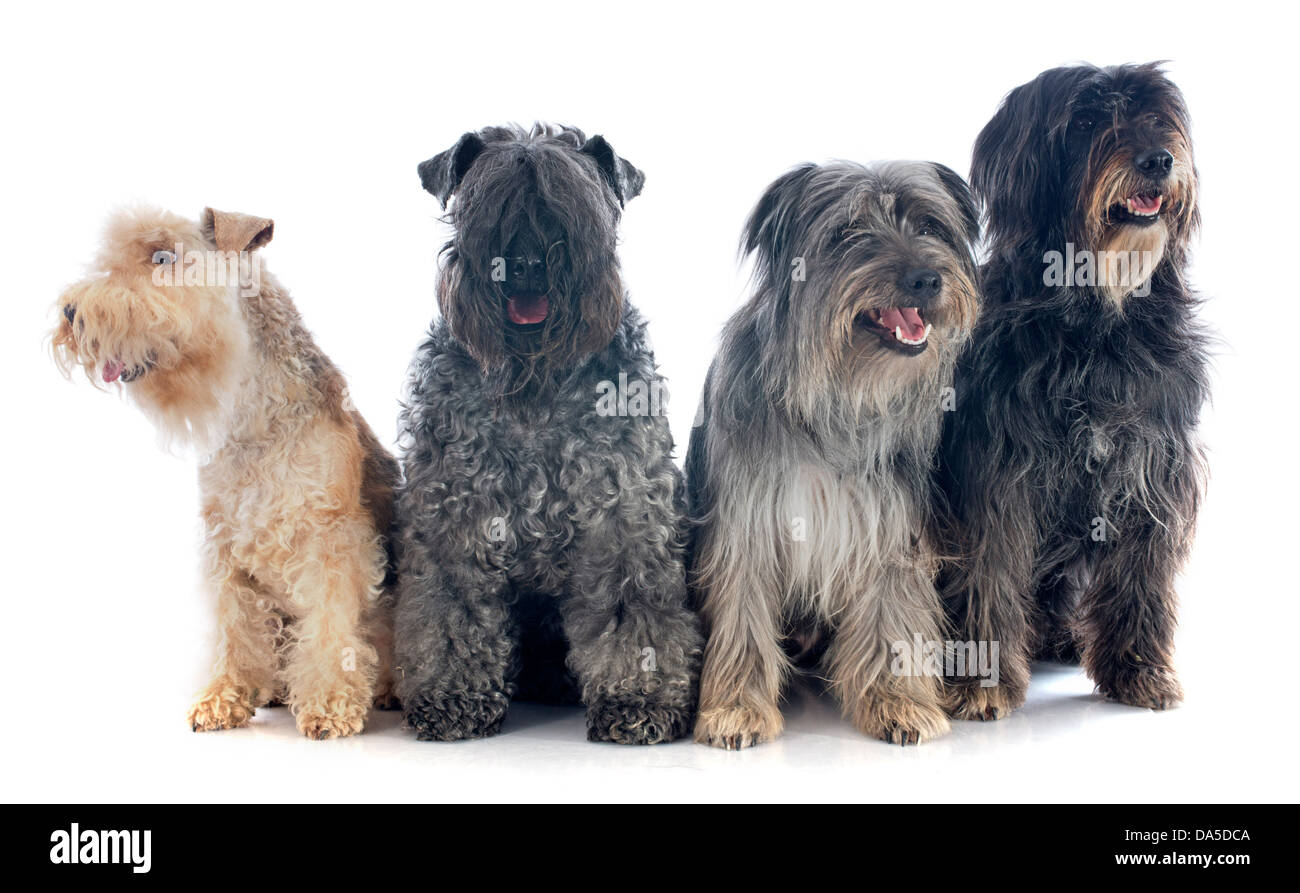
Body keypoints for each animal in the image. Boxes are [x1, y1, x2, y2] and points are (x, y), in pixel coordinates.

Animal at [52, 209, 395, 738]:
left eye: (162, 257)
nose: (70, 311)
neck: (253, 419)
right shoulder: (225, 543)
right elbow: (234, 631)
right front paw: (222, 699)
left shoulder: (333, 540)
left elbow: (331, 628)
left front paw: (330, 706)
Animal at [392, 122, 702, 743]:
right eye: (486, 202)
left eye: (575, 203)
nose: (529, 262)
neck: (534, 389)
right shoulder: (453, 521)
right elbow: (451, 615)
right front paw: (451, 695)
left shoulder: (624, 522)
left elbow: (634, 614)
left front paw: (639, 700)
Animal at [691, 159, 977, 748]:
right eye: (850, 232)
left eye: (930, 226)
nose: (926, 279)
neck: (834, 400)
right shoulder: (746, 527)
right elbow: (742, 618)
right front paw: (736, 708)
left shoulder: (890, 527)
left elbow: (892, 617)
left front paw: (898, 702)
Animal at [941, 63, 1211, 717]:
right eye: (1085, 121)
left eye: (1157, 115)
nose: (1158, 159)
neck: (1096, 323)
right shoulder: (996, 476)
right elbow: (988, 569)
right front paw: (980, 683)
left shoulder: (1153, 467)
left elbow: (1141, 574)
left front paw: (1139, 671)